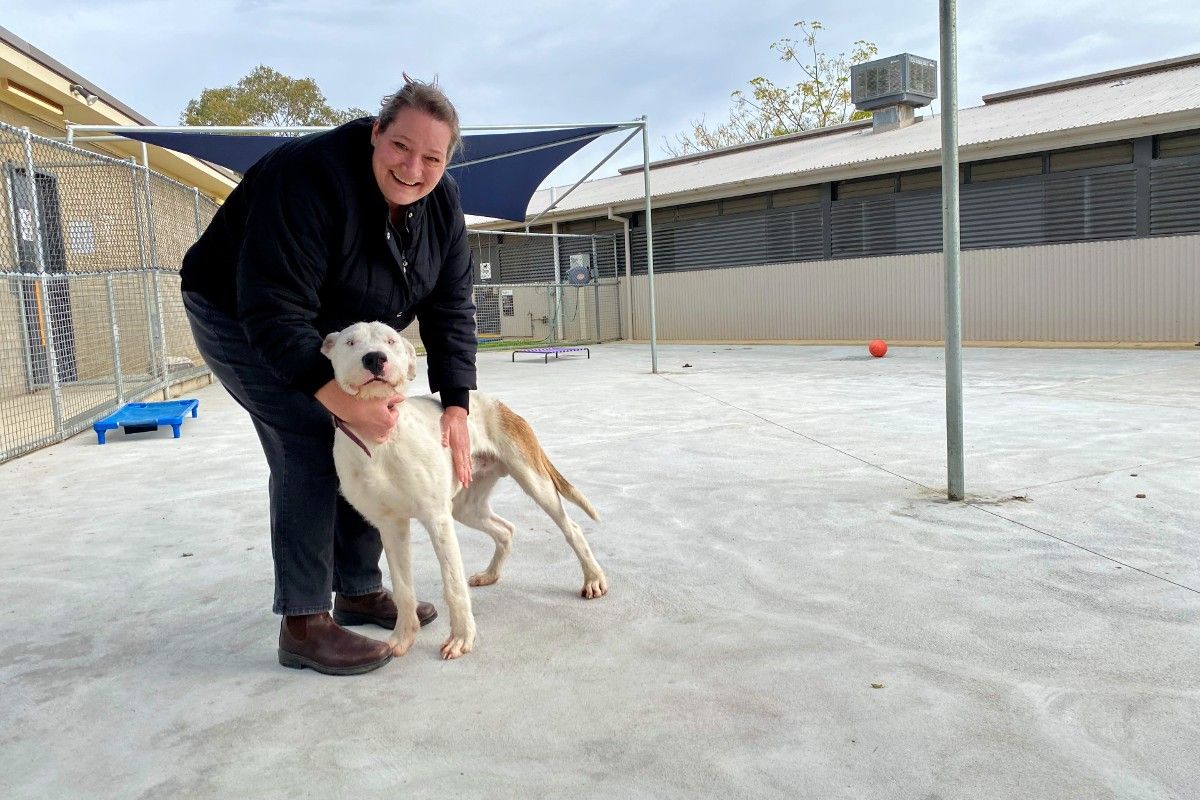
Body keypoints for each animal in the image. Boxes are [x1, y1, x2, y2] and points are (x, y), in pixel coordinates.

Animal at [321, 321, 609, 662]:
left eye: (390, 341)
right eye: (350, 342)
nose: (375, 359)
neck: (381, 440)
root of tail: (502, 405)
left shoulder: (437, 519)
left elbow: (453, 585)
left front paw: (461, 638)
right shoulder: (391, 526)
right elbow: (403, 589)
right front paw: (403, 637)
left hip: (533, 482)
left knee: (571, 528)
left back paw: (593, 578)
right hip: (466, 507)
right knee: (506, 529)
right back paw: (491, 574)